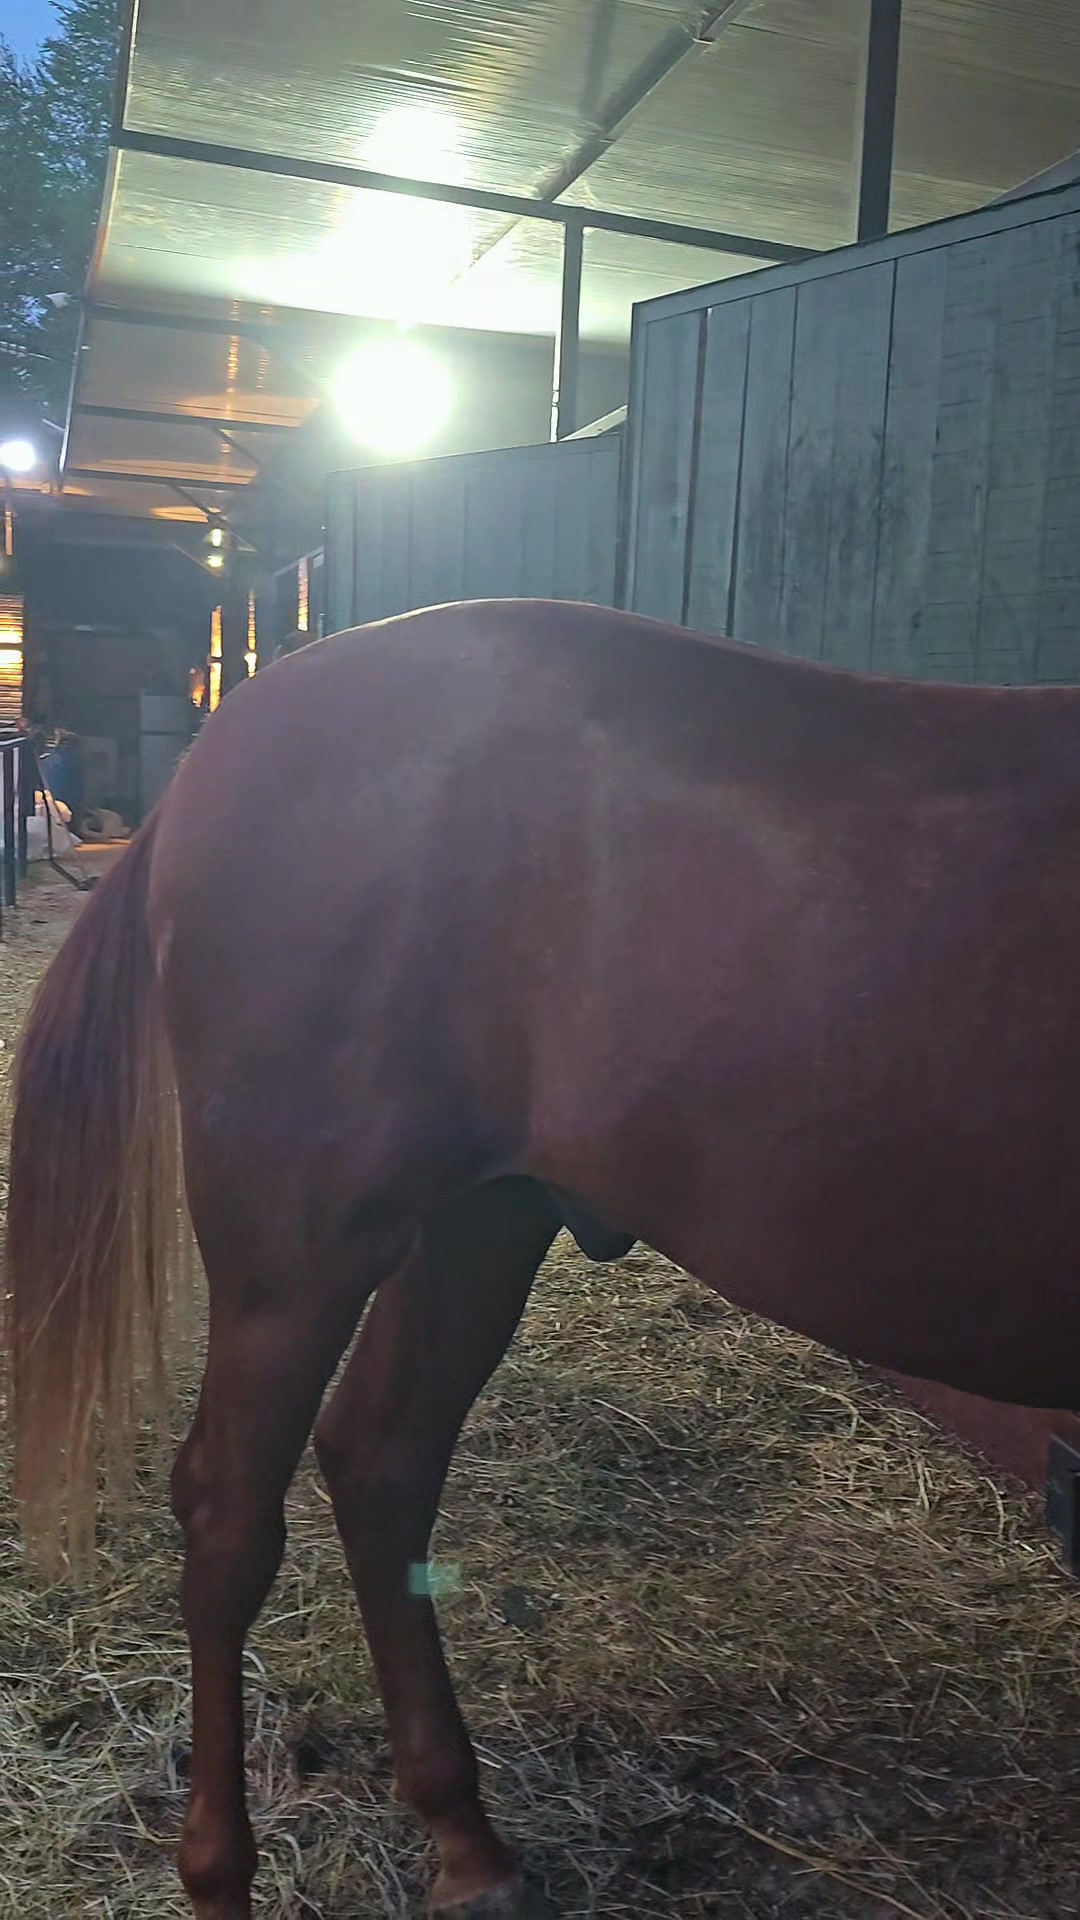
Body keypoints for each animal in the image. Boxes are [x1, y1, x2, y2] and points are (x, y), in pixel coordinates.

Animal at [7, 597, 1080, 1917]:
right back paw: (221, 1872)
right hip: (296, 1255)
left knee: (381, 1460)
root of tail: (226, 746)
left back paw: (468, 1845)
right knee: (227, 1518)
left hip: (481, 1220)